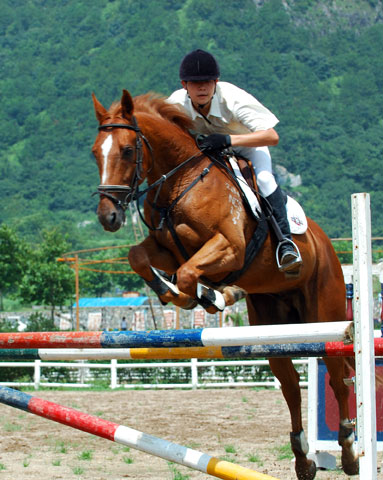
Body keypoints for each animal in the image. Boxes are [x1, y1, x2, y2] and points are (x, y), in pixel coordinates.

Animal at [92, 90, 360, 480]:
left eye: (127, 150)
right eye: (95, 152)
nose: (108, 216)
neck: (181, 181)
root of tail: (324, 245)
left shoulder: (230, 247)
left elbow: (189, 274)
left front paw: (205, 296)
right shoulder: (166, 248)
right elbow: (138, 257)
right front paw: (184, 293)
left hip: (326, 316)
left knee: (338, 379)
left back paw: (350, 452)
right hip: (271, 326)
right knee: (291, 386)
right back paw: (303, 459)